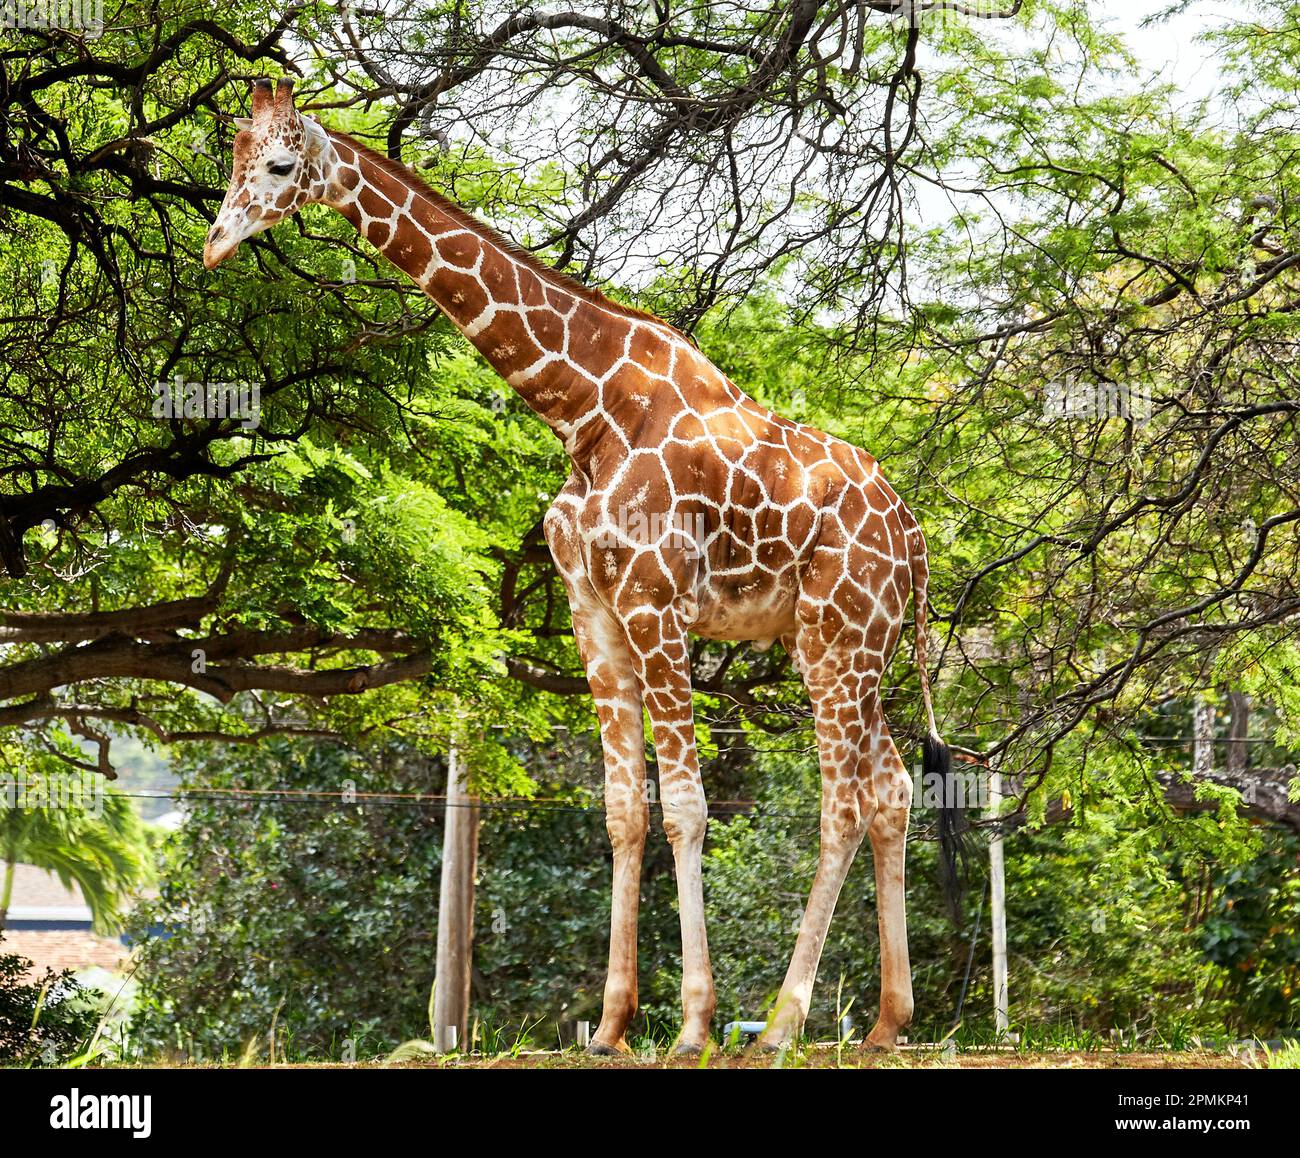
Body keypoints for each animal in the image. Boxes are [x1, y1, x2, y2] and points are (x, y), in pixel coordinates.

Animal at [205, 78, 959, 1056]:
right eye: (229, 158)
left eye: (278, 165)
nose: (216, 242)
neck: (582, 409)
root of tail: (913, 536)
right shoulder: (592, 611)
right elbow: (624, 812)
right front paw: (609, 1024)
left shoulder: (656, 602)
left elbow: (684, 808)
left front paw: (693, 1024)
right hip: (838, 639)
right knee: (892, 787)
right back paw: (883, 1025)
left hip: (843, 635)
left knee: (846, 801)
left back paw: (782, 1025)